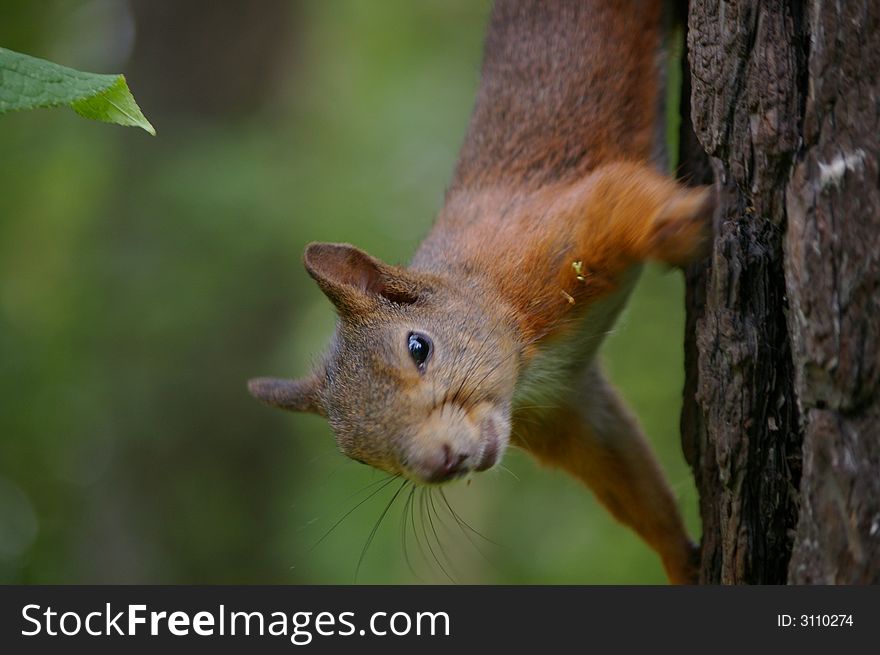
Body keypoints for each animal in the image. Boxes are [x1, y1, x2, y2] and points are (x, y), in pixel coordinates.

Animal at [248, 0, 716, 584]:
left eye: (418, 346)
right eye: (356, 453)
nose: (440, 463)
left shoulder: (555, 232)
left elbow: (619, 198)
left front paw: (689, 224)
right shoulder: (564, 409)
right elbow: (627, 480)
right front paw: (680, 558)